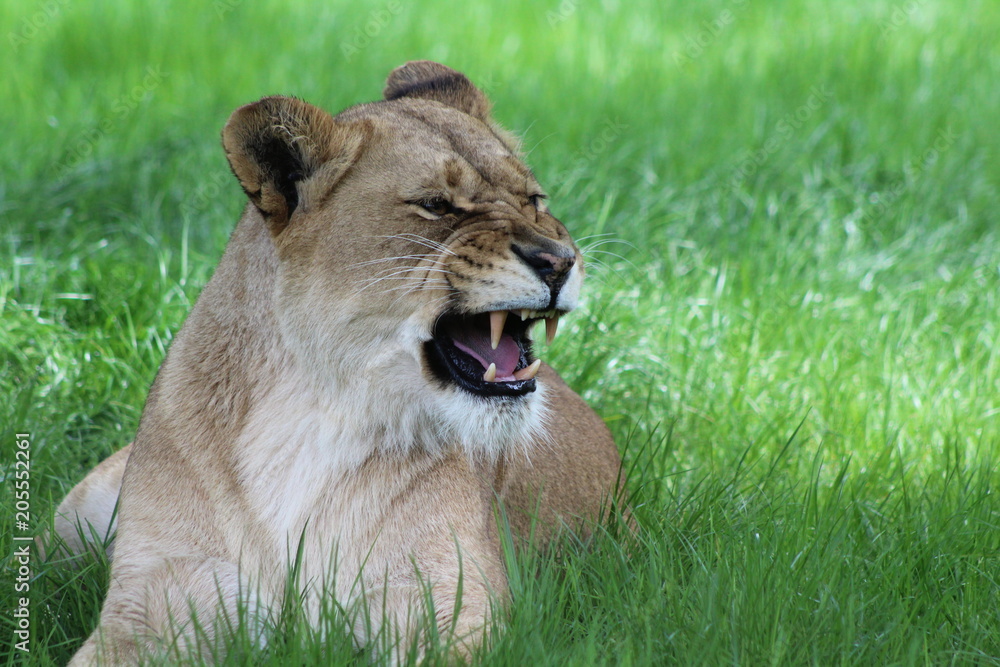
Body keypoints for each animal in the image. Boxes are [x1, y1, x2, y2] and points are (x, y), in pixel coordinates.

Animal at [53, 61, 624, 664]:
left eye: (535, 199)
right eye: (436, 205)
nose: (559, 261)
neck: (311, 407)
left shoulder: (447, 602)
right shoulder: (156, 593)